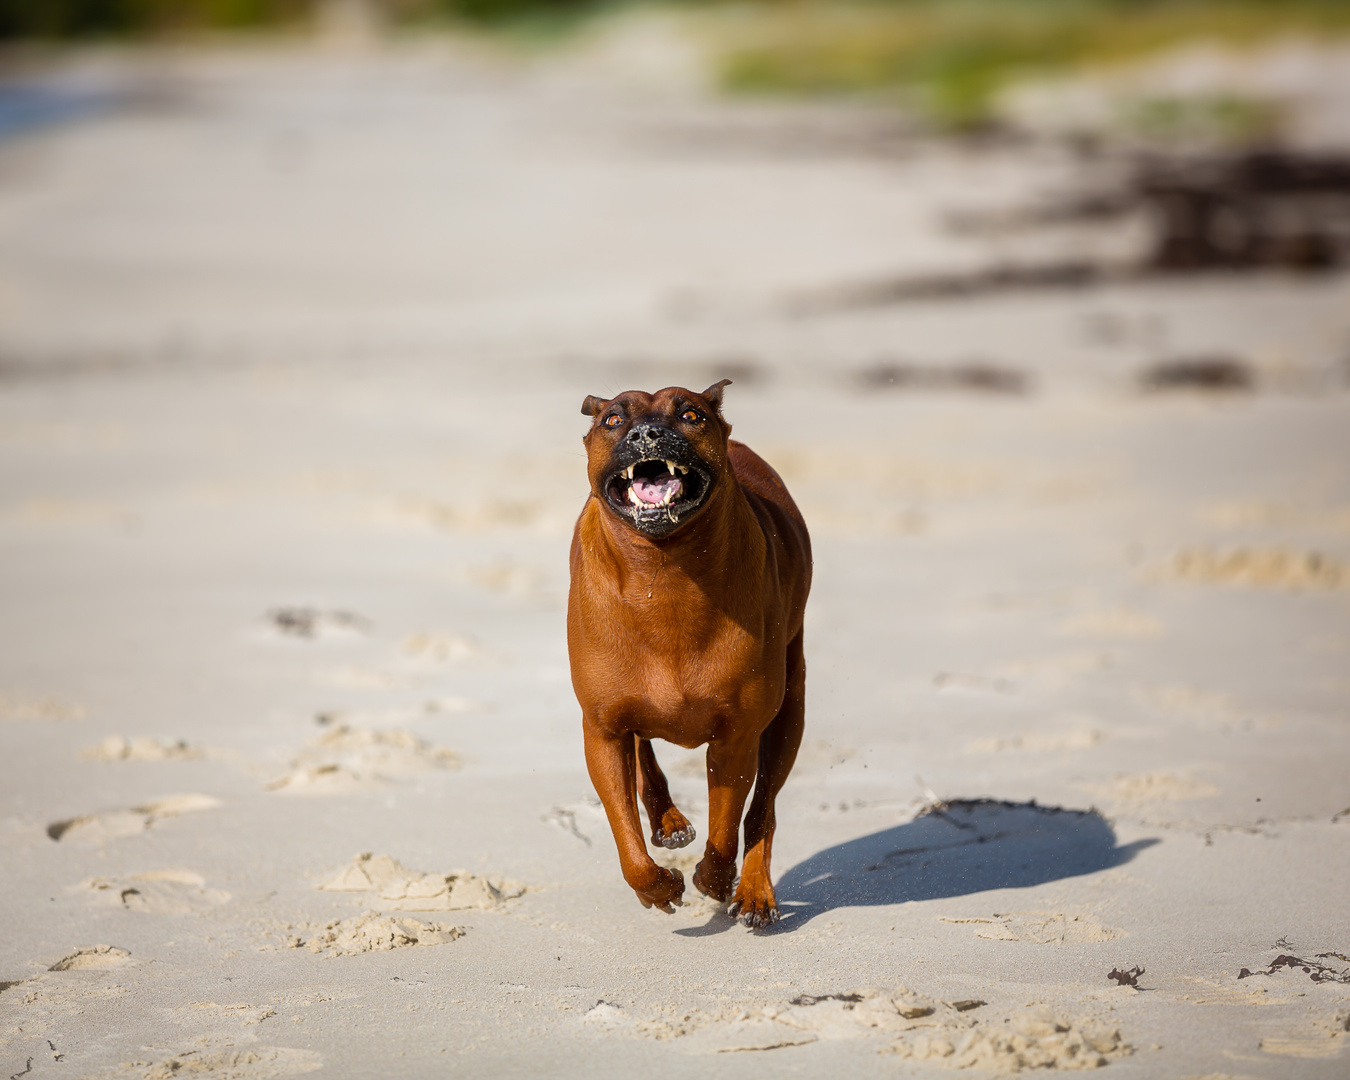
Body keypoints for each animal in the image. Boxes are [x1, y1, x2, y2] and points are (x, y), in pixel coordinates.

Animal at [564, 380, 804, 928]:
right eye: (613, 419)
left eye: (691, 414)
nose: (648, 433)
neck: (664, 569)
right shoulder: (602, 729)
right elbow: (626, 837)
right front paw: (657, 885)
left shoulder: (737, 733)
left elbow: (727, 824)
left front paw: (714, 879)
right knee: (644, 757)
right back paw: (668, 821)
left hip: (791, 704)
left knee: (763, 806)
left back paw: (754, 890)